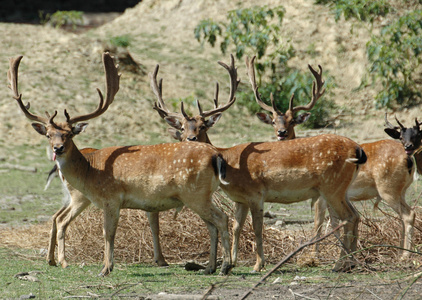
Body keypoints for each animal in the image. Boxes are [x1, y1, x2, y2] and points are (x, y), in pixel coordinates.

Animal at [7, 52, 234, 276]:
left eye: (69, 134)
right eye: (48, 135)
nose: (58, 148)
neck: (90, 171)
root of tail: (216, 154)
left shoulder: (111, 198)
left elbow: (108, 232)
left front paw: (105, 268)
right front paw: (108, 266)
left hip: (195, 193)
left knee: (222, 219)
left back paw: (225, 266)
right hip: (198, 196)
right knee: (212, 224)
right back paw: (210, 267)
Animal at [151, 55, 366, 274]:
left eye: (202, 126)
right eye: (182, 127)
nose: (191, 139)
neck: (229, 165)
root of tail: (357, 148)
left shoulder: (255, 193)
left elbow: (256, 228)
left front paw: (257, 265)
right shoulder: (240, 199)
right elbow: (236, 226)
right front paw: (232, 262)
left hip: (332, 186)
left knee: (348, 217)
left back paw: (341, 264)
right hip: (340, 188)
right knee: (355, 216)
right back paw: (351, 263)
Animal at [246, 55, 418, 258]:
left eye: (292, 121)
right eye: (273, 121)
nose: (281, 132)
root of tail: (410, 159)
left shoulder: (321, 196)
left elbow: (319, 222)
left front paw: (314, 254)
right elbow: (334, 222)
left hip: (387, 187)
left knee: (408, 214)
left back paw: (405, 255)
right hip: (401, 189)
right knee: (404, 215)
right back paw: (400, 251)